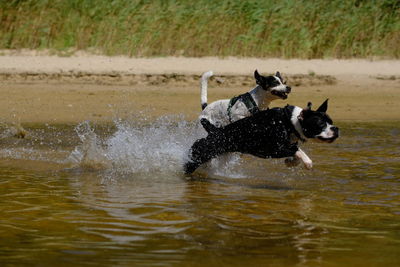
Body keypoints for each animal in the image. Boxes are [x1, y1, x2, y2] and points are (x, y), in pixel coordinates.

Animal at [184, 99, 338, 175]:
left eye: (331, 121)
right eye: (321, 124)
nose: (335, 129)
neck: (290, 122)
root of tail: (215, 131)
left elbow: (294, 151)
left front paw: (291, 162)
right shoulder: (273, 149)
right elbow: (297, 150)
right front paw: (307, 162)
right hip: (201, 152)